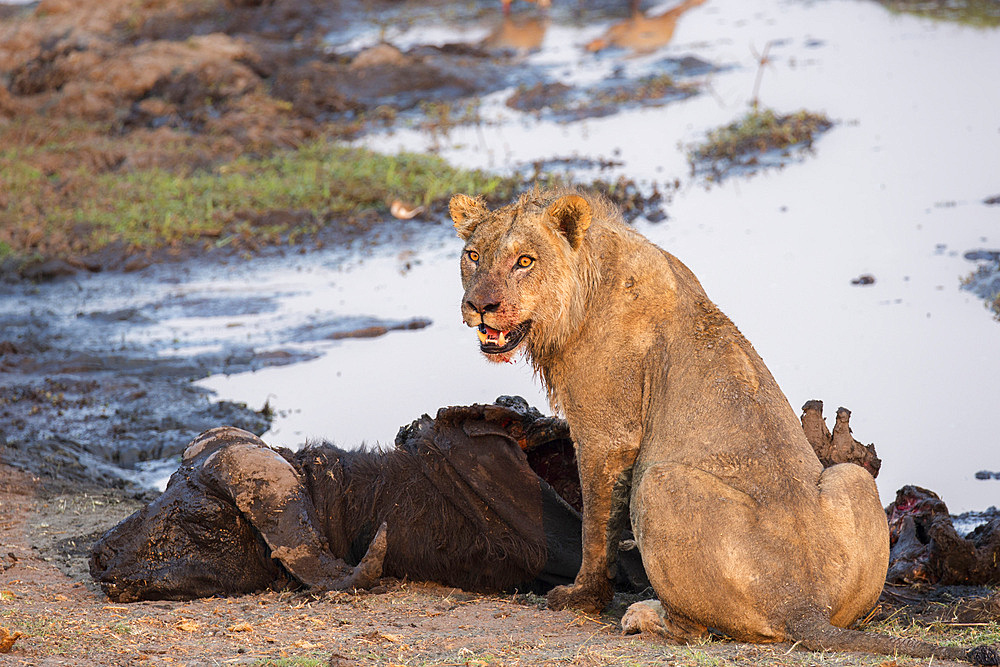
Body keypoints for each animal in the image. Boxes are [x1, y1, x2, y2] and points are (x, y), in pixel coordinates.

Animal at [454, 187, 1000, 664]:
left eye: (525, 261)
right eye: (473, 256)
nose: (480, 306)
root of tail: (803, 605)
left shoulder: (607, 434)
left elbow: (595, 523)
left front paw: (581, 597)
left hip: (658, 482)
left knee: (692, 628)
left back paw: (641, 614)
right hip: (853, 480)